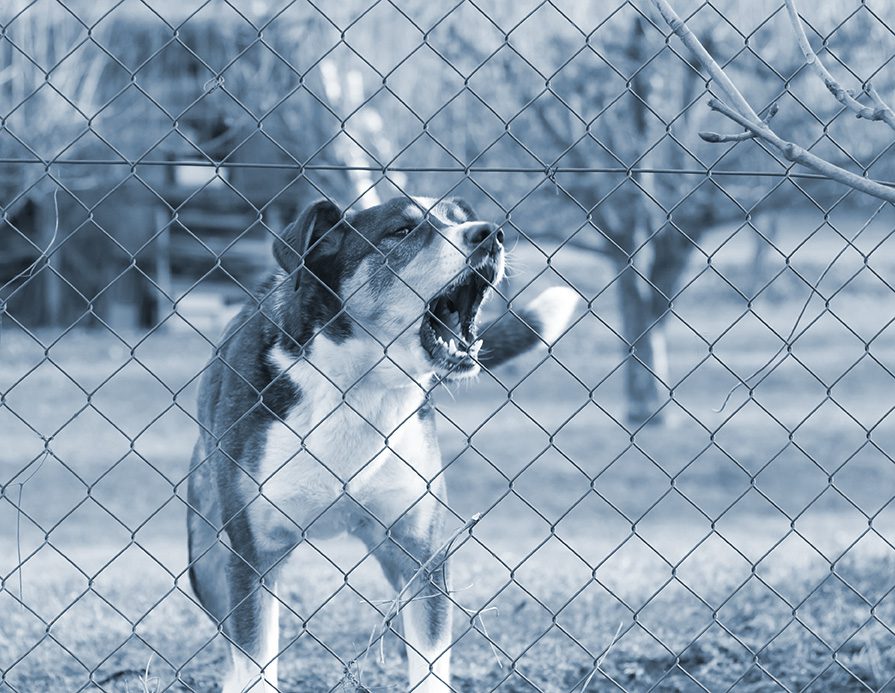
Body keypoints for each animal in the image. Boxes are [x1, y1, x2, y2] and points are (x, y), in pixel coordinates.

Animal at [189, 196, 580, 692]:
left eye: (459, 218)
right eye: (401, 231)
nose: (491, 234)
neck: (357, 389)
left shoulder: (423, 556)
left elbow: (430, 666)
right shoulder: (252, 560)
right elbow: (255, 663)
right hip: (207, 561)